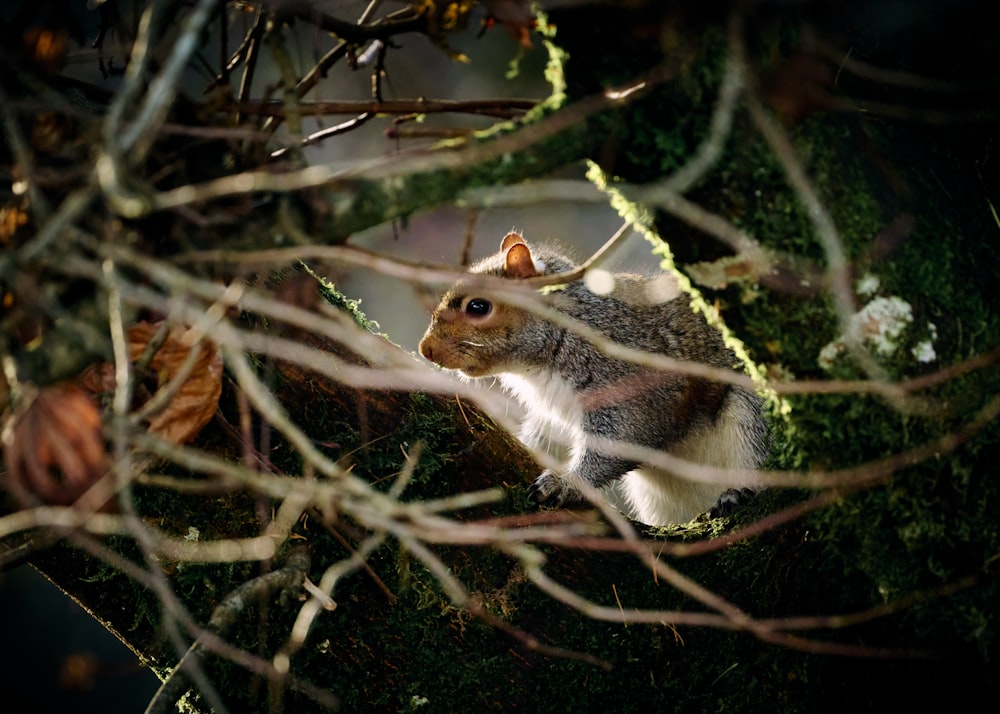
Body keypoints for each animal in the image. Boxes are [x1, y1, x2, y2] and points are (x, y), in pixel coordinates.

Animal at [418, 229, 768, 524]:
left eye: (478, 307)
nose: (426, 350)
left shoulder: (630, 382)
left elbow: (624, 438)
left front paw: (565, 484)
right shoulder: (549, 414)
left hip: (751, 415)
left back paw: (738, 492)